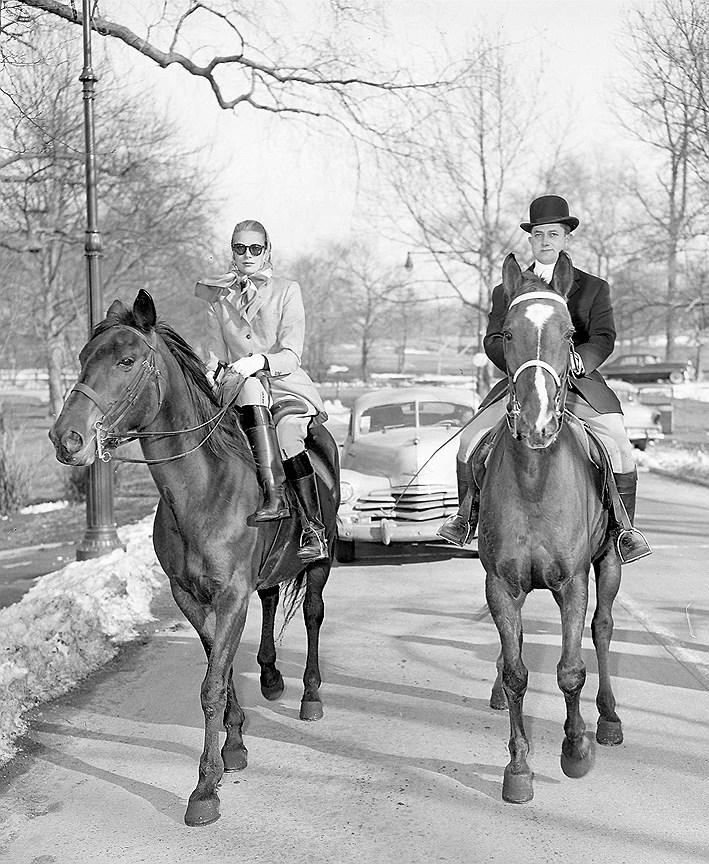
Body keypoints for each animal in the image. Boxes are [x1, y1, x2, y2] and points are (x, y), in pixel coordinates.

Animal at [48, 294, 338, 828]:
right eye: (82, 357)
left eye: (126, 360)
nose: (67, 438)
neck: (199, 490)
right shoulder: (191, 597)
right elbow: (219, 670)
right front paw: (235, 743)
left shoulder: (230, 597)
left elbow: (210, 686)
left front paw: (204, 787)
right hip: (266, 575)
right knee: (271, 601)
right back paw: (271, 677)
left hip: (319, 566)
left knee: (312, 615)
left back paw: (310, 694)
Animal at [478, 253, 624, 808]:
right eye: (507, 332)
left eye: (569, 334)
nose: (537, 424)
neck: (534, 478)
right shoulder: (501, 584)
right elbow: (518, 673)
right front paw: (518, 768)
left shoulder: (573, 582)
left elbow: (570, 669)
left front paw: (576, 749)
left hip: (610, 563)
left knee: (602, 629)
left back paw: (609, 719)